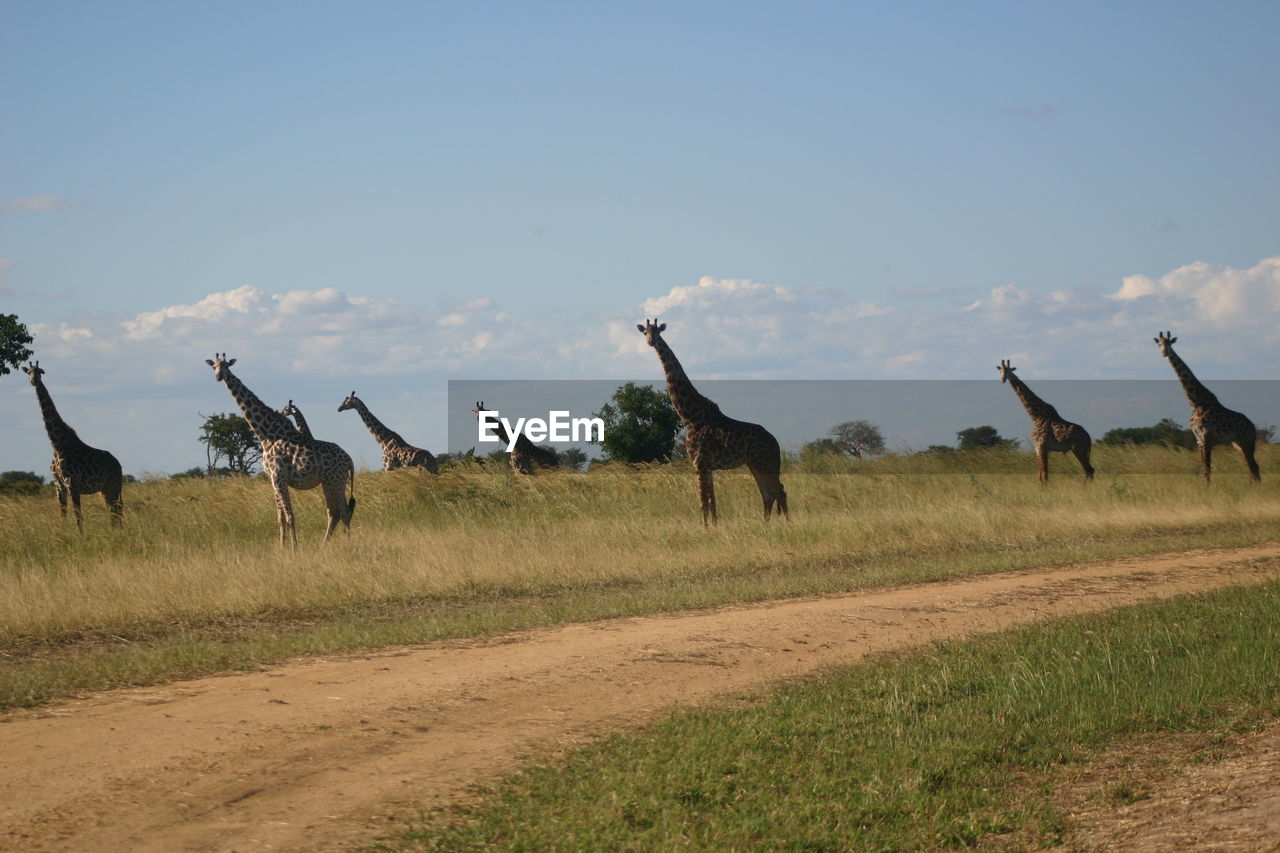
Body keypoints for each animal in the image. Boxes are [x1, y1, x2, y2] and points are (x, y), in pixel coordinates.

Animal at [23, 361, 123, 532]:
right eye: (28, 371)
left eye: (39, 371)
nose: (33, 381)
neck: (56, 445)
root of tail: (119, 465)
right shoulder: (59, 486)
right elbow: (63, 515)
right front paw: (63, 534)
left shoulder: (73, 485)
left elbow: (78, 517)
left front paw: (82, 536)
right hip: (104, 490)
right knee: (114, 512)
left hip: (113, 486)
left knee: (116, 512)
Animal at [206, 353, 358, 545]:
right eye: (214, 367)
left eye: (226, 366)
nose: (219, 377)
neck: (266, 435)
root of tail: (349, 460)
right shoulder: (273, 479)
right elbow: (280, 517)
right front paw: (281, 546)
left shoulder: (279, 477)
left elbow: (290, 515)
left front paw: (294, 547)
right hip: (338, 481)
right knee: (344, 511)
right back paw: (346, 542)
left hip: (331, 481)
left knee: (335, 512)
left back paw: (324, 545)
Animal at [634, 317, 783, 522]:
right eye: (644, 332)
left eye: (657, 332)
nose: (650, 341)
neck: (689, 416)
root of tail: (775, 442)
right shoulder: (707, 466)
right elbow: (713, 504)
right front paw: (714, 526)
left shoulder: (699, 463)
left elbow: (704, 504)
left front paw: (705, 528)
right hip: (756, 464)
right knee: (768, 494)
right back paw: (766, 524)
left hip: (766, 462)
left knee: (780, 491)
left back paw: (786, 523)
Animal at [1157, 330, 1254, 481]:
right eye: (1159, 344)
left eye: (1169, 343)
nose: (1164, 353)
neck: (1195, 402)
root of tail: (1253, 427)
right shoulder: (1198, 439)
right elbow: (1204, 468)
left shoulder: (1206, 436)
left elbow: (1207, 469)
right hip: (1237, 444)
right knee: (1252, 468)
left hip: (1247, 441)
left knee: (1254, 469)